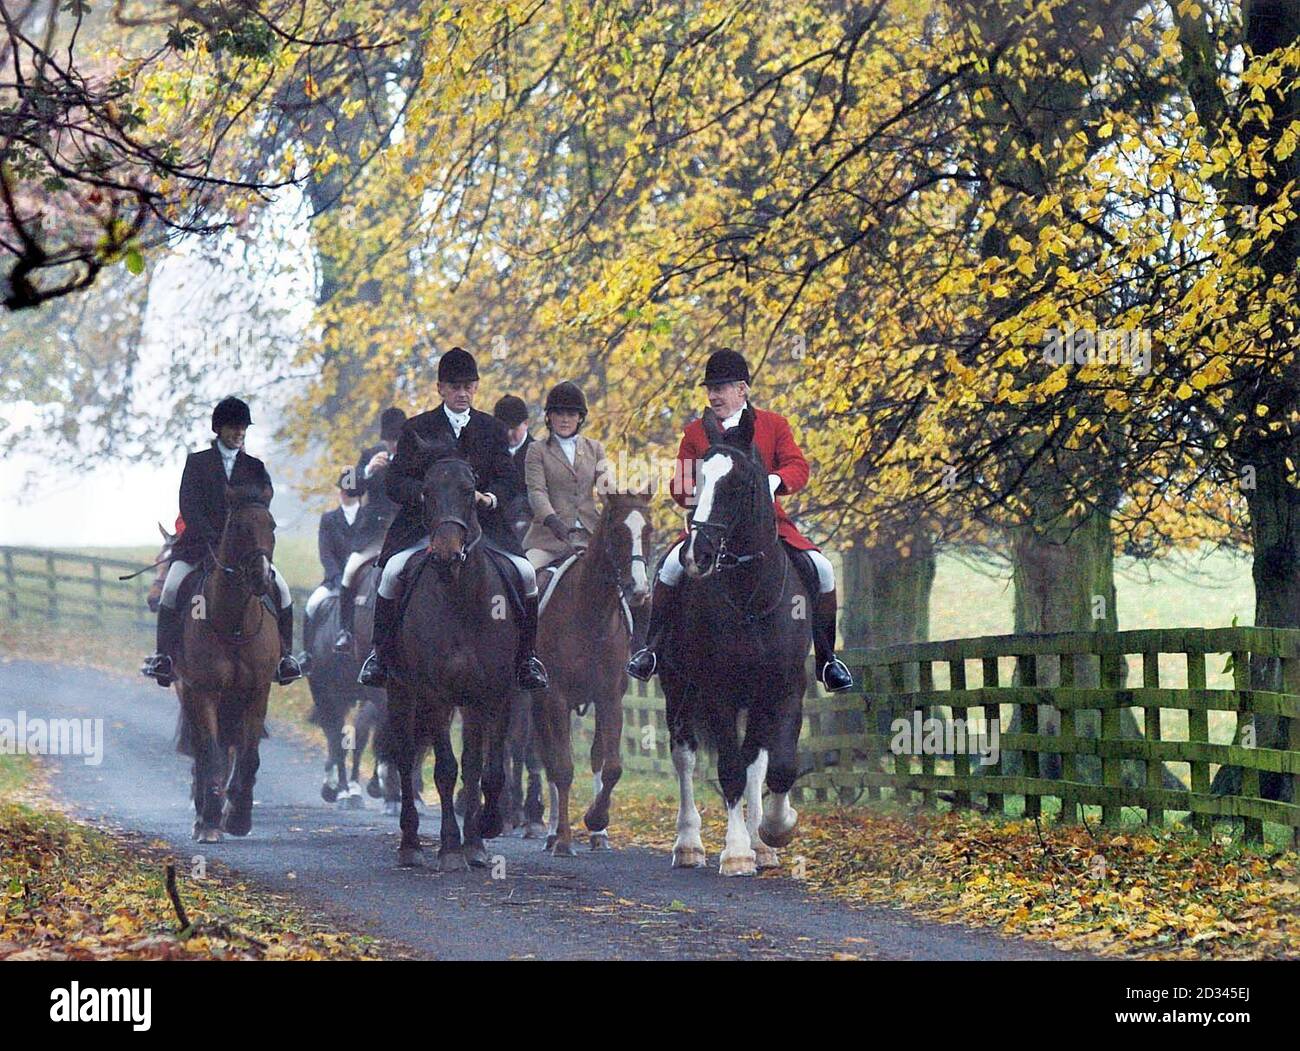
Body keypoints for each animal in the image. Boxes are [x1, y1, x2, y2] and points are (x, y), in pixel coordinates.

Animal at [174, 486, 283, 848]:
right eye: (237, 527)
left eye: (272, 525)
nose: (261, 576)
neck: (233, 623)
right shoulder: (203, 691)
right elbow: (211, 754)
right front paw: (209, 823)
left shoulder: (258, 691)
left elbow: (249, 755)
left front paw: (238, 818)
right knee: (203, 751)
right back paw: (203, 814)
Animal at [384, 437, 522, 868]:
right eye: (426, 492)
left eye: (469, 490)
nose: (445, 554)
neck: (461, 597)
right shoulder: (435, 694)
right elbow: (446, 768)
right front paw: (449, 847)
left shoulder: (493, 693)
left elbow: (484, 769)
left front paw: (481, 836)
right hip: (400, 691)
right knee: (405, 756)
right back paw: (410, 843)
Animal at [527, 491, 650, 853]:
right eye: (618, 532)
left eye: (647, 531)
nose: (639, 589)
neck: (590, 612)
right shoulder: (555, 697)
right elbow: (563, 768)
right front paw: (564, 839)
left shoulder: (610, 697)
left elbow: (610, 766)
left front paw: (597, 821)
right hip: (539, 703)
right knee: (549, 761)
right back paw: (552, 832)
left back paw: (596, 834)